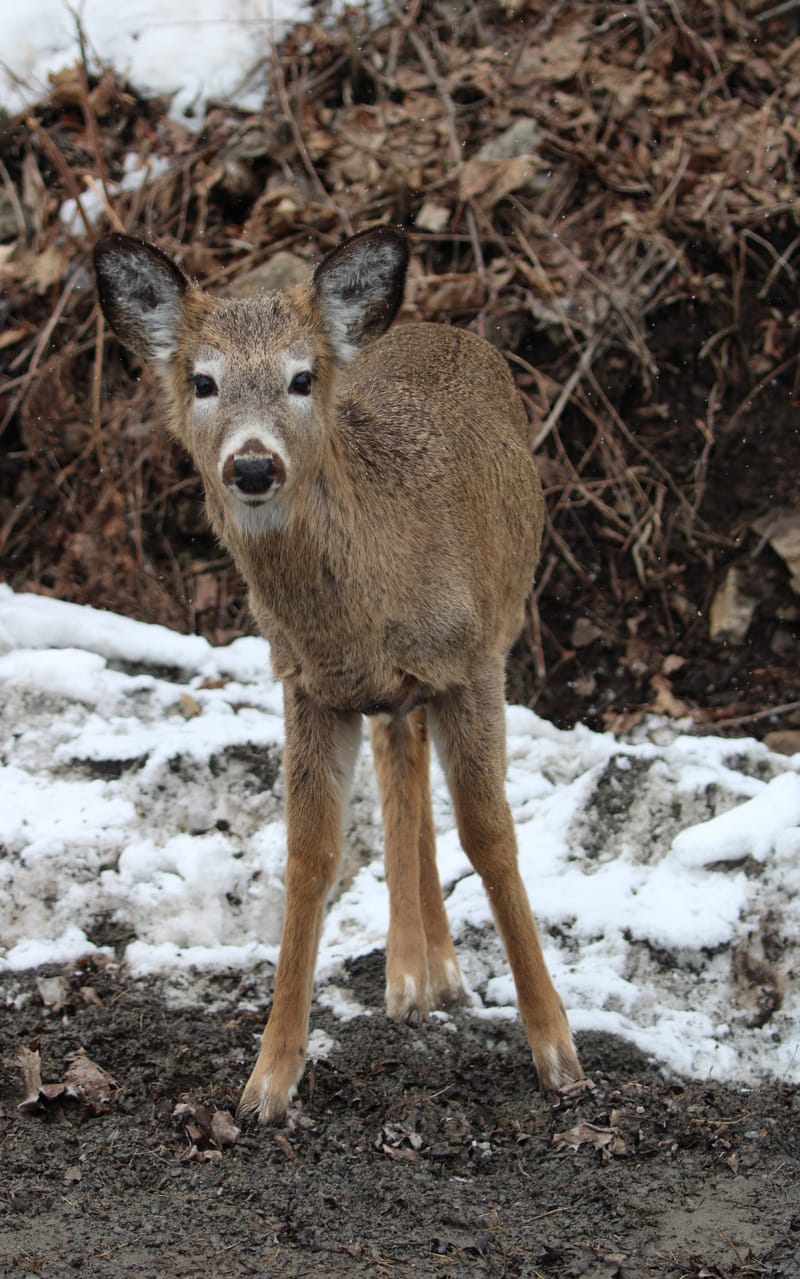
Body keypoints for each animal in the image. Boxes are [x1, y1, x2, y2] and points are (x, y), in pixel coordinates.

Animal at [93, 225, 584, 1124]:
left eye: (301, 376)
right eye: (203, 379)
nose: (253, 465)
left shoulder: (472, 664)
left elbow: (492, 835)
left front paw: (557, 1050)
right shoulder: (306, 683)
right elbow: (310, 856)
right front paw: (267, 1080)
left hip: (494, 622)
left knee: (416, 765)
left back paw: (437, 972)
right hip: (383, 693)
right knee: (401, 763)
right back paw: (415, 969)